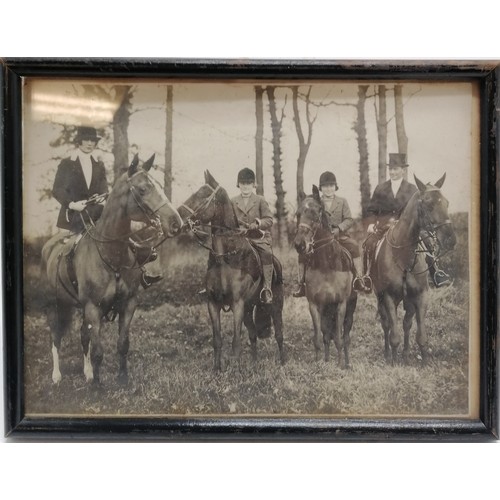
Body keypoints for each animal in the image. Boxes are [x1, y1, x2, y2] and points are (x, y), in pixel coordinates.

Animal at [41, 154, 182, 384]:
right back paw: (56, 375)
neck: (111, 255)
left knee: (83, 335)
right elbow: (98, 350)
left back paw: (87, 372)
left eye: (160, 186)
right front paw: (98, 386)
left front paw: (121, 378)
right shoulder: (92, 307)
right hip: (55, 304)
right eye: (143, 189)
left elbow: (122, 344)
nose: (176, 222)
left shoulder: (128, 304)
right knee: (56, 336)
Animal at [178, 172, 284, 372]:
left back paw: (283, 360)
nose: (179, 215)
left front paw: (235, 371)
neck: (225, 258)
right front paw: (216, 370)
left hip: (275, 305)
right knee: (253, 334)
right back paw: (254, 364)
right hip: (249, 308)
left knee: (279, 334)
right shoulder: (213, 304)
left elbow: (235, 341)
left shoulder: (237, 304)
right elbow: (217, 340)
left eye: (203, 195)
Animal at [294, 188, 358, 368]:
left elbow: (339, 339)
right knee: (326, 336)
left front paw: (340, 365)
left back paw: (347, 363)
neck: (326, 263)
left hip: (349, 309)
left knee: (345, 337)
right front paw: (318, 363)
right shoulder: (314, 305)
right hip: (326, 311)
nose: (299, 245)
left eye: (315, 214)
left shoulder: (341, 305)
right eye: (298, 214)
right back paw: (327, 359)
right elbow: (319, 338)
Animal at [372, 174, 458, 366]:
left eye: (447, 203)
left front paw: (424, 361)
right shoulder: (389, 297)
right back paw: (389, 354)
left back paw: (405, 354)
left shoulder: (421, 296)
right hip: (382, 298)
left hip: (409, 300)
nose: (451, 240)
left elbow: (420, 334)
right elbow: (393, 333)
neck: (403, 255)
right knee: (386, 324)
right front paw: (393, 361)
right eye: (428, 204)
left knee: (406, 323)